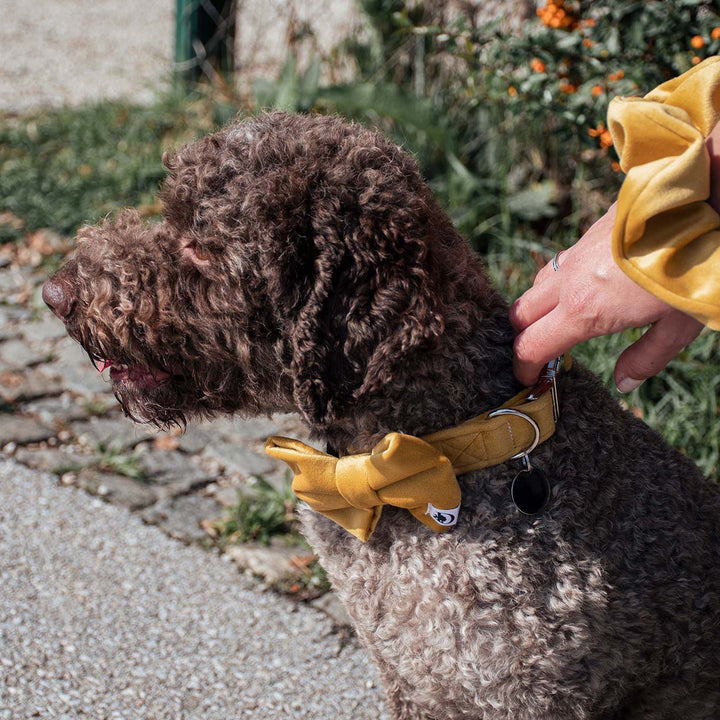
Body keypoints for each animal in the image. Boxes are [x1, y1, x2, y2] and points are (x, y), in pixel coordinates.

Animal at [43, 112, 720, 720]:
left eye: (201, 244)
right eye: (170, 210)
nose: (55, 294)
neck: (436, 452)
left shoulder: (530, 697)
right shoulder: (410, 680)